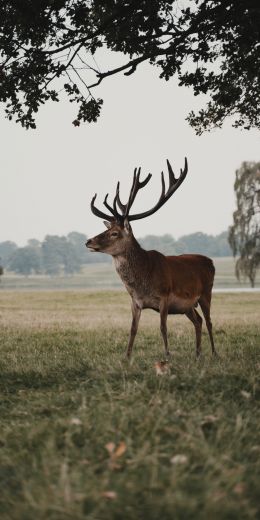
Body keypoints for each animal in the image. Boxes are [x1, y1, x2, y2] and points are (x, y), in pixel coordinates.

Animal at [86, 158, 216, 360]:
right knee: (199, 320)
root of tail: (210, 262)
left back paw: (214, 353)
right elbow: (133, 329)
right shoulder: (135, 301)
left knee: (209, 321)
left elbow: (163, 328)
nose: (89, 241)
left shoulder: (164, 297)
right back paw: (197, 354)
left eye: (114, 233)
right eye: (107, 229)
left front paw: (167, 356)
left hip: (206, 293)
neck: (143, 281)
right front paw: (126, 357)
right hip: (187, 306)